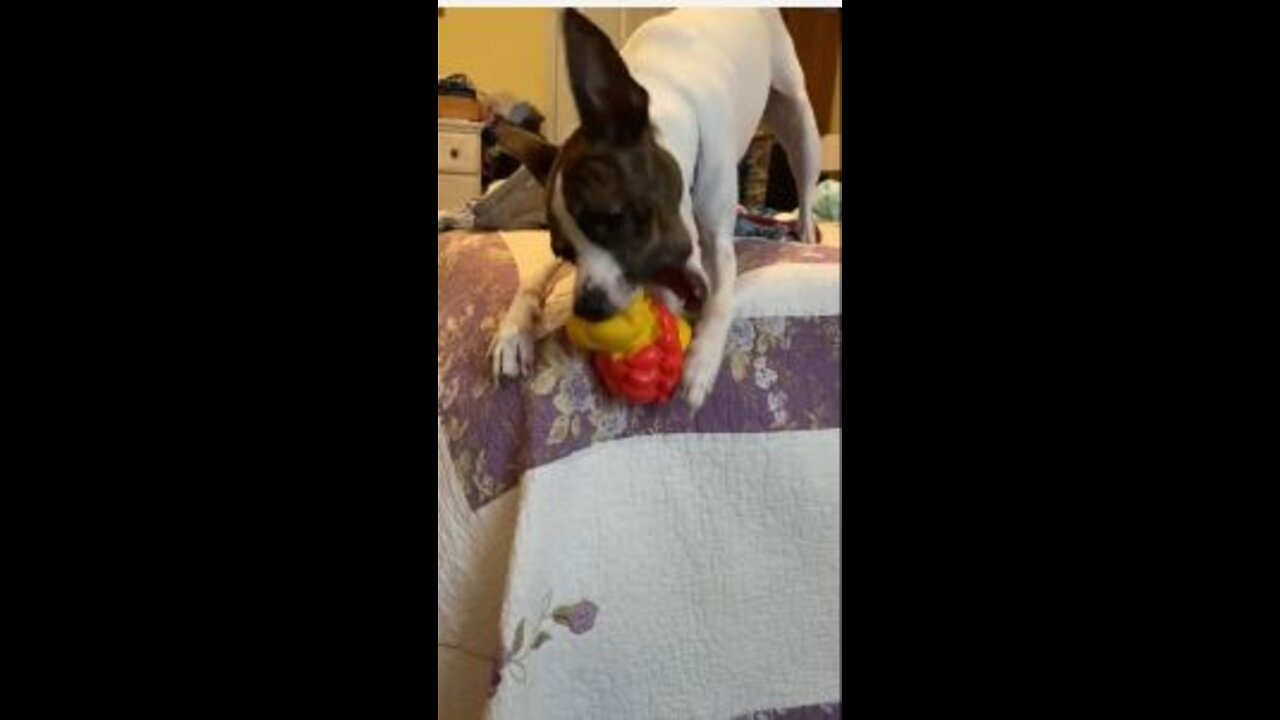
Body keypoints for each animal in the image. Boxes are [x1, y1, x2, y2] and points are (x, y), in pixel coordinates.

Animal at [488, 8, 819, 407]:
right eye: (565, 252)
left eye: (615, 217)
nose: (588, 307)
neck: (666, 92)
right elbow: (533, 278)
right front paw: (512, 333)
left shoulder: (717, 243)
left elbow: (722, 300)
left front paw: (701, 362)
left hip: (798, 118)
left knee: (805, 188)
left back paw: (805, 234)